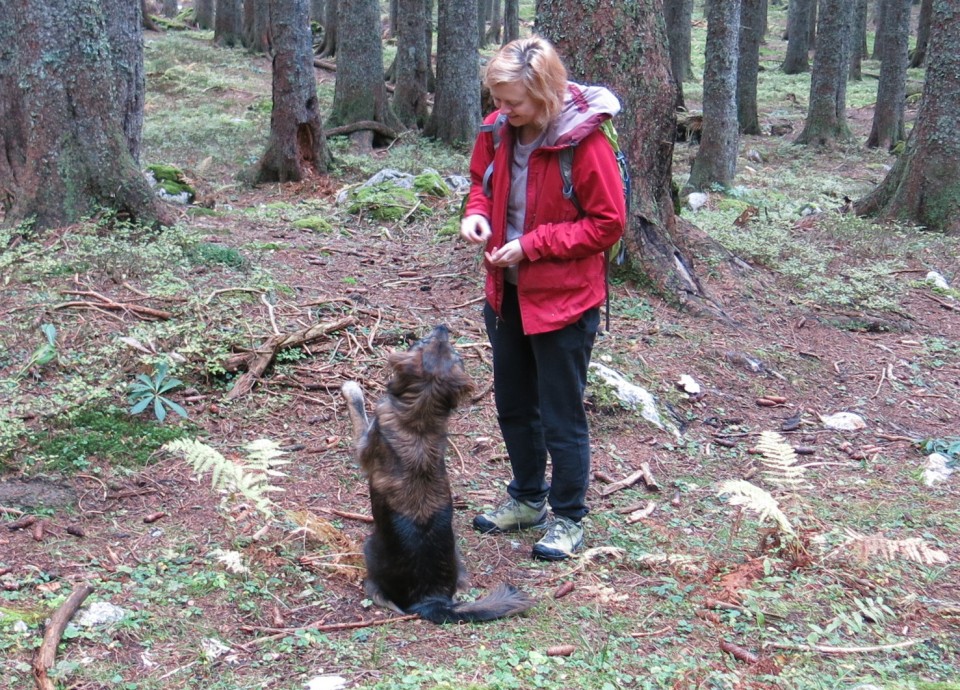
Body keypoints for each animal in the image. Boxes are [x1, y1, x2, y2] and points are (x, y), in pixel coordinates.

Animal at [340, 326, 536, 620]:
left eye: (421, 342)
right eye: (454, 352)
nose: (443, 326)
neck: (419, 416)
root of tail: (432, 599)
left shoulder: (364, 446)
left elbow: (357, 409)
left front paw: (350, 388)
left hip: (370, 546)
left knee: (380, 594)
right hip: (456, 554)